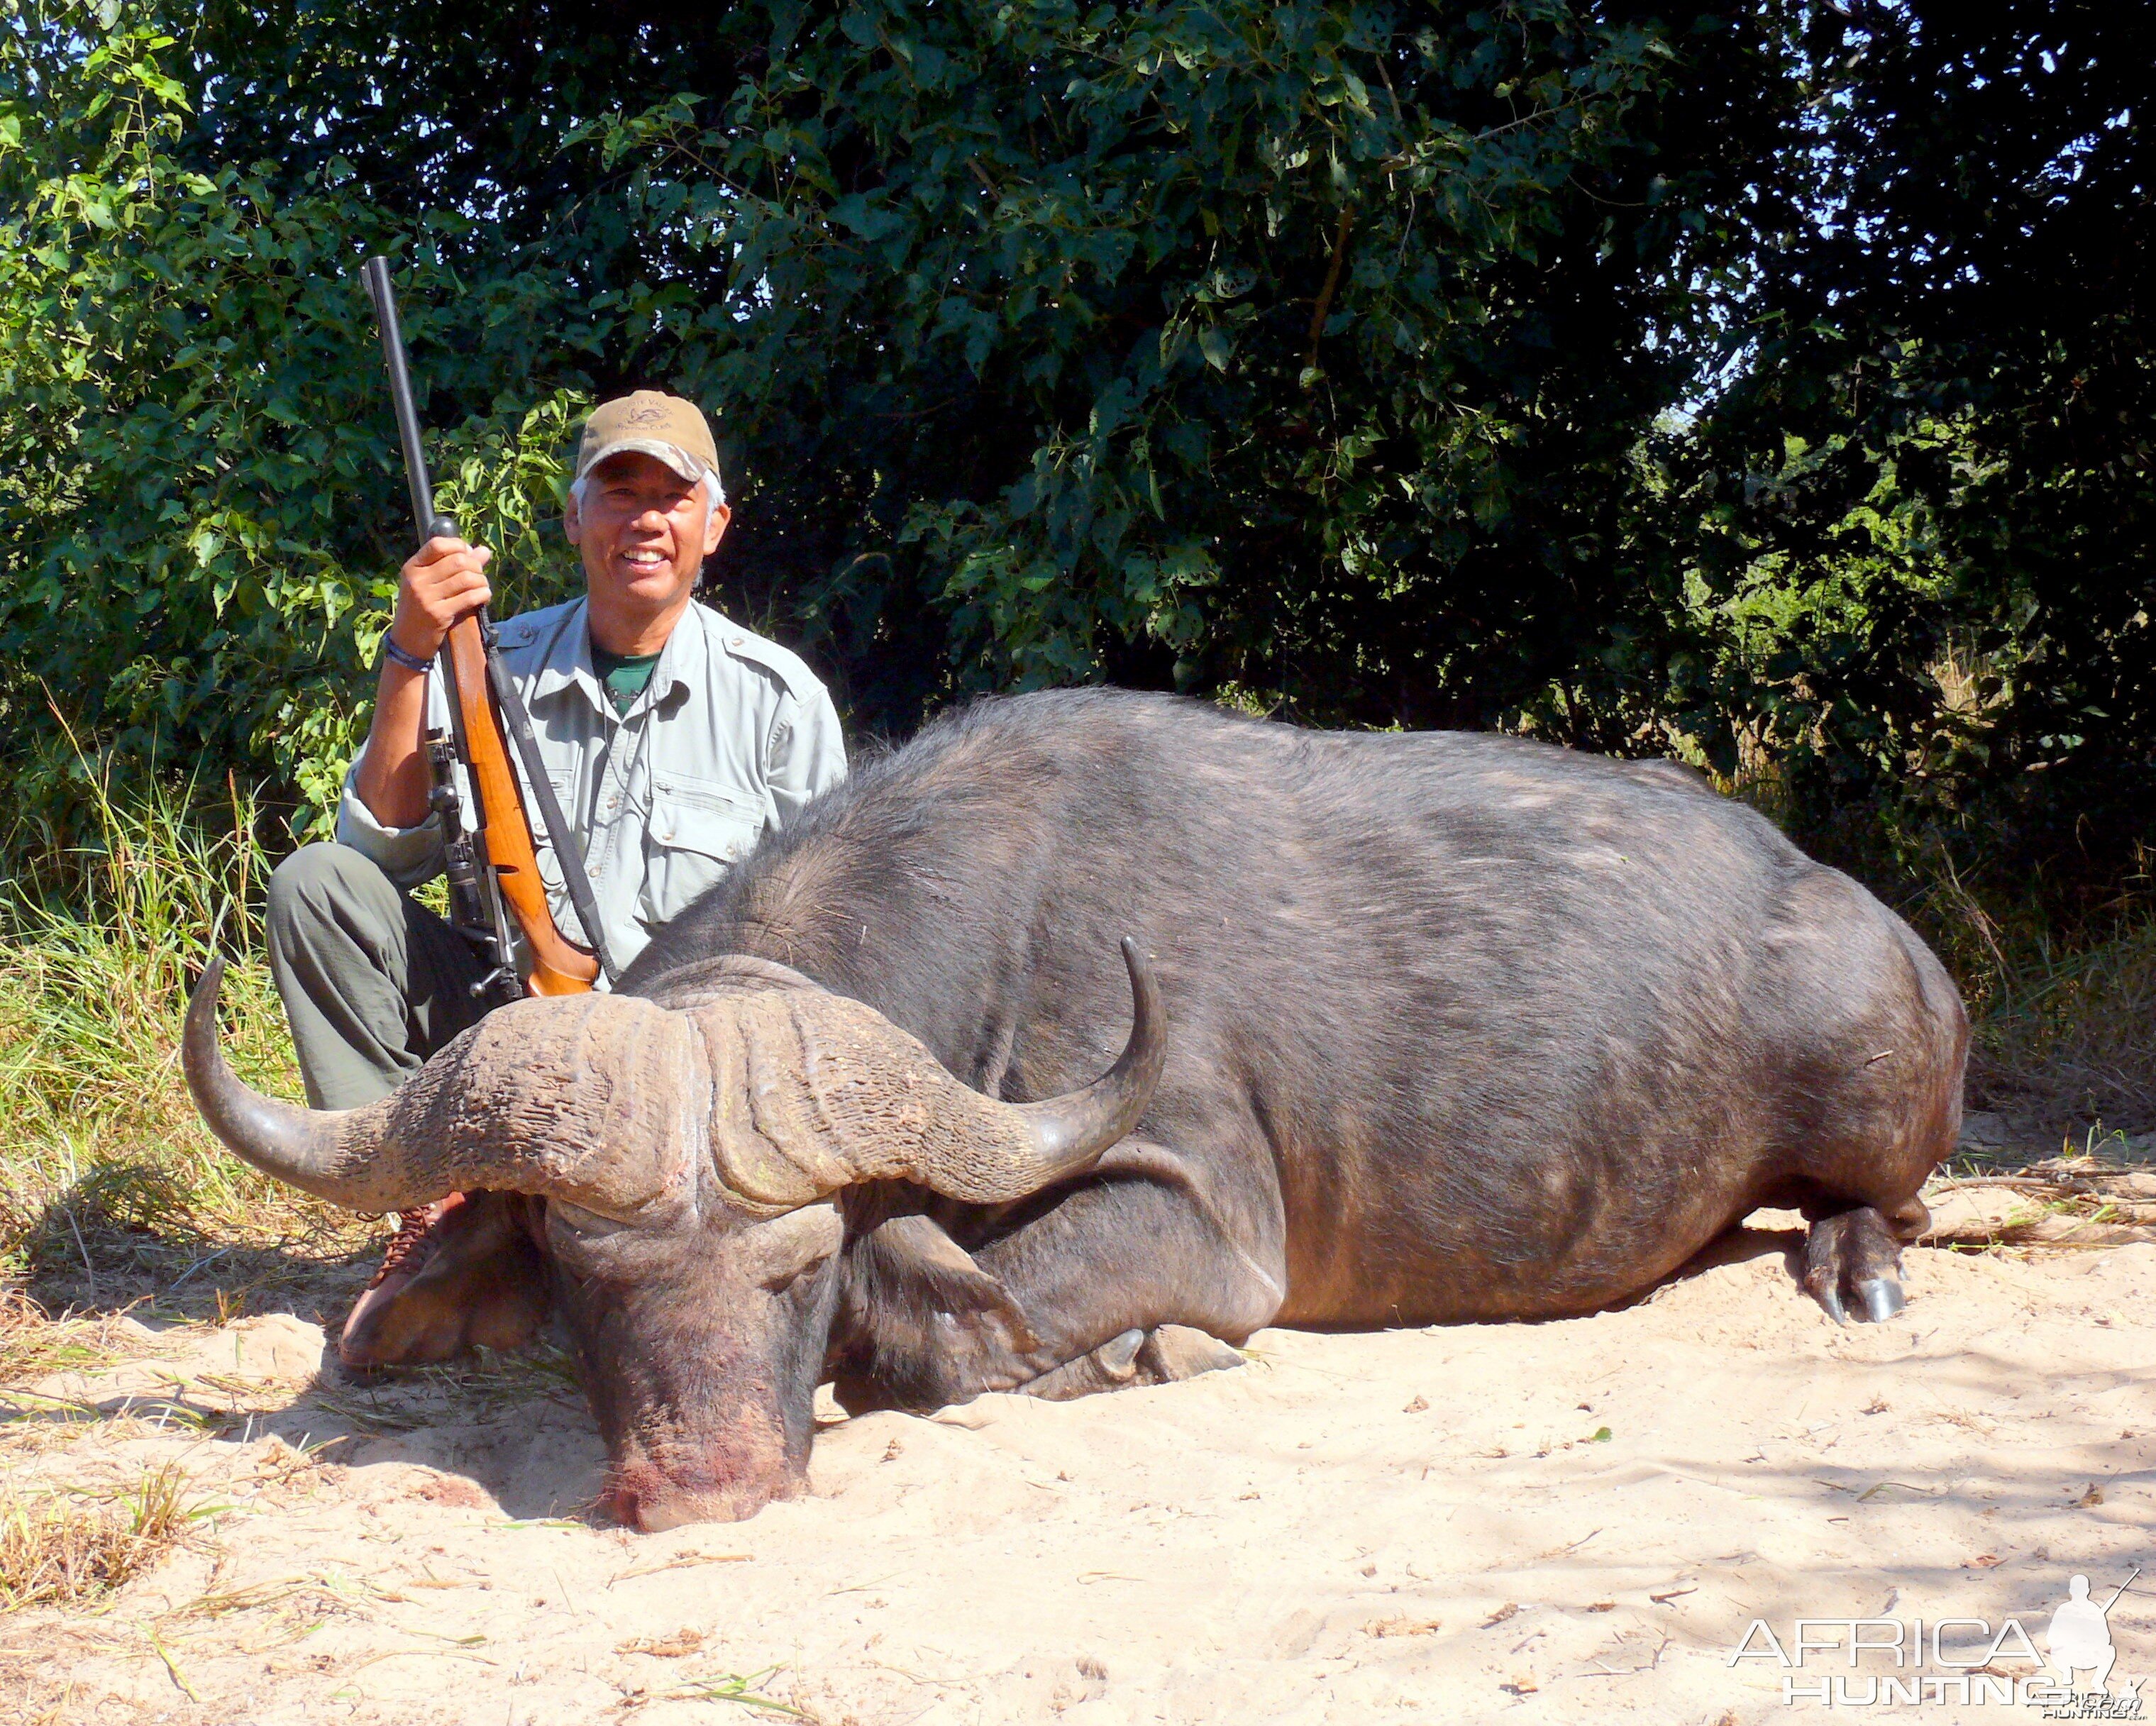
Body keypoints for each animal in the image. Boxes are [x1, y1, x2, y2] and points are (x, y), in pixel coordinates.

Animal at [185, 685, 1974, 1525]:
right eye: (578, 1271)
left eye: (800, 1266)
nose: (702, 1484)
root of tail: (1859, 916)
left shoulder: (1204, 1221)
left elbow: (936, 1340)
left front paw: (1144, 1351)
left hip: (1869, 1081)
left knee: (1892, 1196)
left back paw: (1857, 1263)